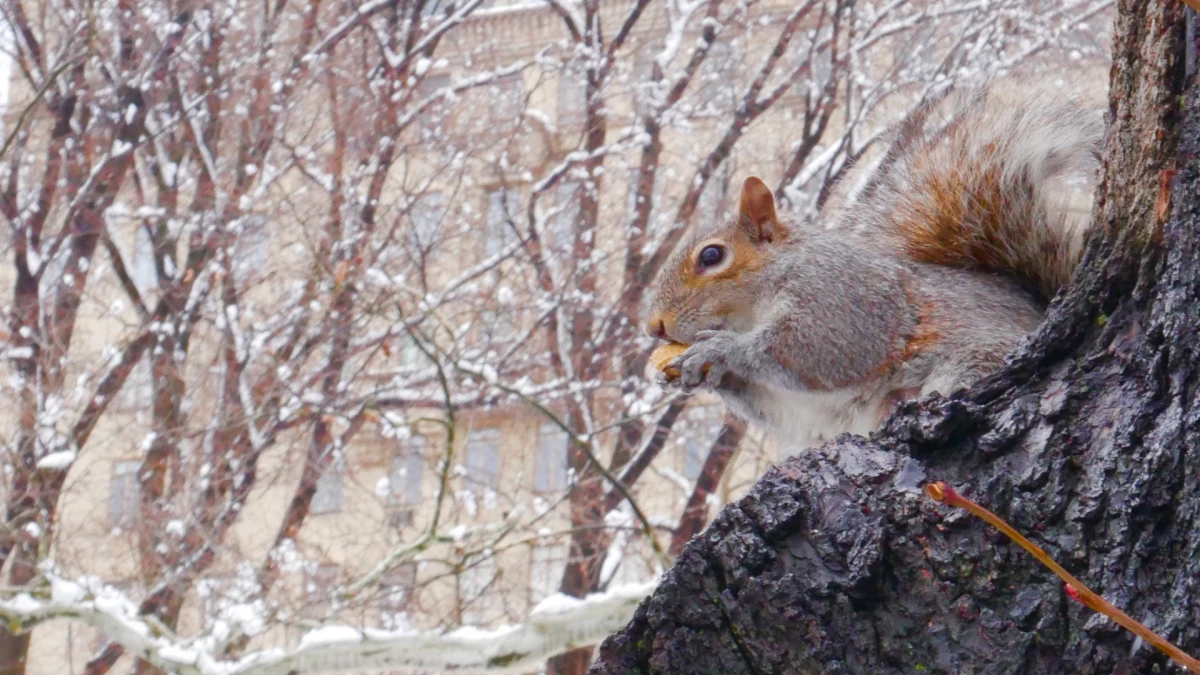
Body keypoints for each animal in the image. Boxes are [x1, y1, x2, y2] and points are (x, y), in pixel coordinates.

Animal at [648, 77, 1104, 446]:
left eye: (711, 256)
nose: (655, 327)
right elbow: (784, 407)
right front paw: (702, 376)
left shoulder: (841, 294)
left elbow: (811, 349)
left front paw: (721, 351)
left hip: (977, 358)